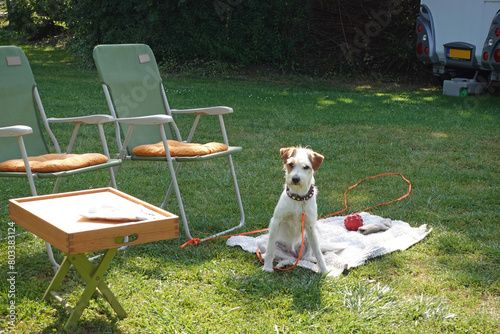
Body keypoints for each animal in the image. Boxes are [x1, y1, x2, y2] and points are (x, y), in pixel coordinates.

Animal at [260, 146, 330, 274]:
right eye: (291, 164)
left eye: (306, 167)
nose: (295, 179)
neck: (299, 198)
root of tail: (294, 254)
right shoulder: (276, 221)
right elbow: (270, 249)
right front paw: (267, 267)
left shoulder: (310, 226)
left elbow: (318, 251)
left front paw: (324, 271)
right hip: (265, 243)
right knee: (277, 255)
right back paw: (281, 263)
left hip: (311, 235)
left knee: (306, 256)